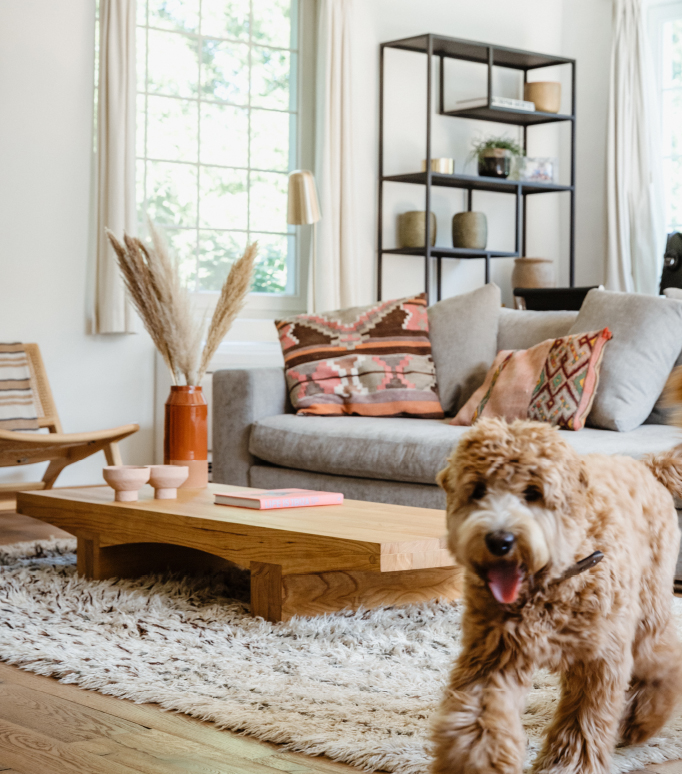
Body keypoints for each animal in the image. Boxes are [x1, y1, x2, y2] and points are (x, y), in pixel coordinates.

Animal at [430, 418, 680, 774]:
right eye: (477, 490)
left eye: (533, 493)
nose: (499, 540)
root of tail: (647, 466)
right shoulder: (493, 656)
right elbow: (477, 719)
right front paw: (474, 763)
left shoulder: (600, 659)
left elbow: (583, 722)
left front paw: (568, 765)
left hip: (647, 605)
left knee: (663, 656)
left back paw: (641, 717)